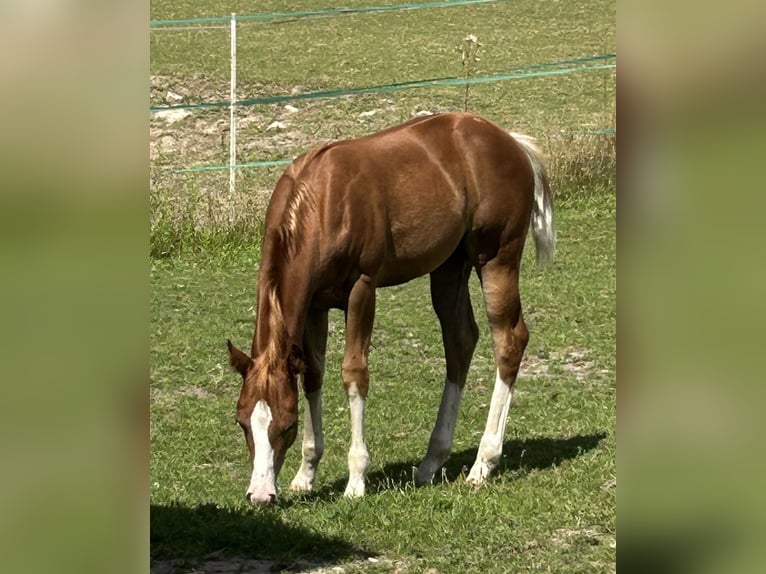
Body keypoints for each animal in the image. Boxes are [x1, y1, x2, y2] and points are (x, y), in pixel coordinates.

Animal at [228, 111, 560, 504]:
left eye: (287, 424)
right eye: (241, 421)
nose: (260, 495)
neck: (321, 200)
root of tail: (511, 141)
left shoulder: (362, 289)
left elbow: (354, 373)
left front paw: (356, 479)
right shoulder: (314, 305)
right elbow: (313, 374)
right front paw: (305, 475)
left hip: (496, 258)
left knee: (509, 340)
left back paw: (483, 464)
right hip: (449, 267)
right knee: (461, 340)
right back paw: (431, 462)